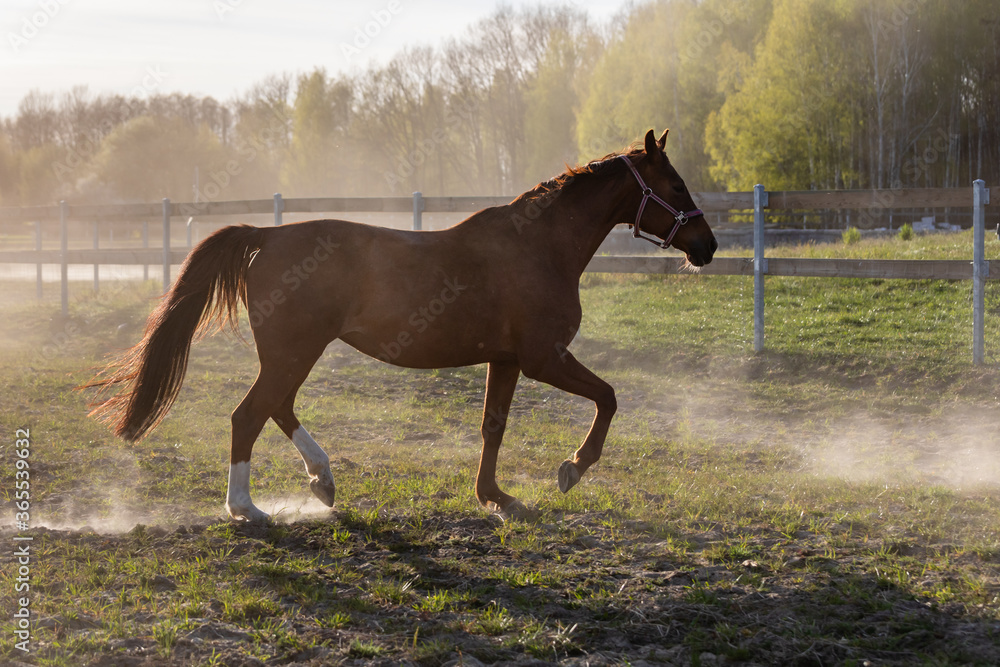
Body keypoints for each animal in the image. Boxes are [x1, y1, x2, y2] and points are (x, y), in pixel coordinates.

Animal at [84, 129, 717, 521]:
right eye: (677, 186)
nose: (707, 246)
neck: (538, 247)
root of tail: (266, 235)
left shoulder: (508, 360)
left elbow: (493, 428)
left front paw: (497, 497)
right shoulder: (543, 356)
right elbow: (608, 397)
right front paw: (572, 469)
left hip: (294, 354)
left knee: (277, 408)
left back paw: (322, 482)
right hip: (296, 350)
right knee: (250, 414)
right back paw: (246, 508)